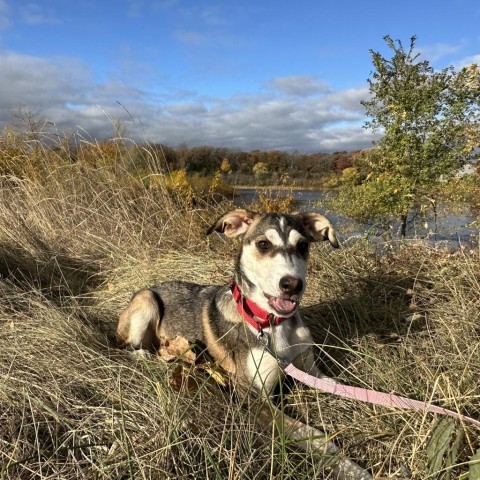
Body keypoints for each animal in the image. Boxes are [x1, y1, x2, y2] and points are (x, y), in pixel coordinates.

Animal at [115, 210, 372, 480]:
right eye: (263, 244)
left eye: (302, 245)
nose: (292, 284)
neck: (271, 324)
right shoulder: (253, 398)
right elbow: (316, 436)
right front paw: (352, 469)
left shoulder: (310, 370)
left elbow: (344, 387)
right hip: (146, 300)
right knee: (128, 348)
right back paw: (153, 356)